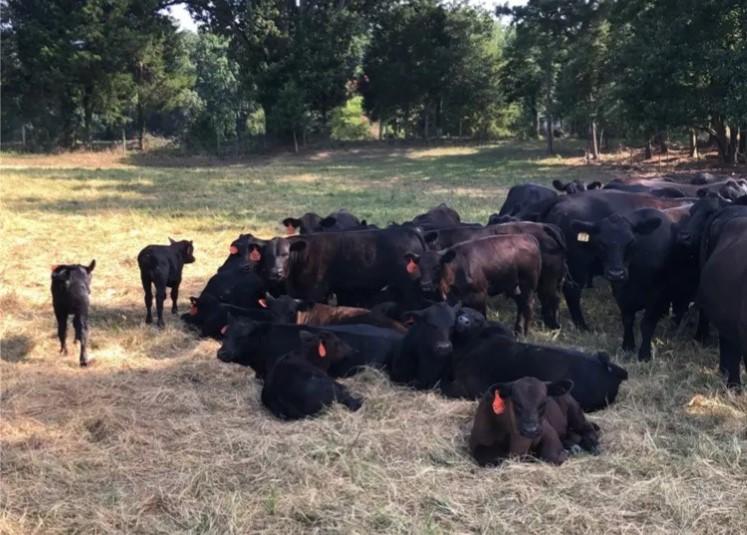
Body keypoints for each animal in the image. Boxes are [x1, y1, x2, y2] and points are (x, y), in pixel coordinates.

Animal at [406, 236, 540, 336]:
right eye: (420, 267)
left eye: (437, 266)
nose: (425, 284)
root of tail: (529, 238)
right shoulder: (453, 299)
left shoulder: (479, 294)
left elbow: (482, 315)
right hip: (514, 285)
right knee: (520, 305)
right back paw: (517, 331)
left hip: (528, 285)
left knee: (528, 306)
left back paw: (525, 334)